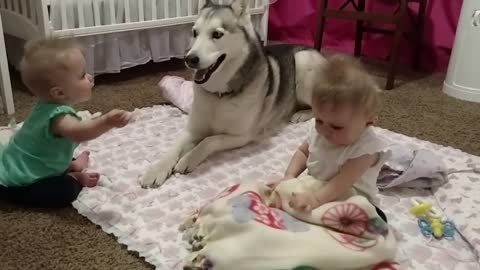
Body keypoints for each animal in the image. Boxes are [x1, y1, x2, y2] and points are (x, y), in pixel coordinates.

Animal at [141, 0, 328, 188]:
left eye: (217, 34)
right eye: (194, 33)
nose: (190, 59)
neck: (218, 95)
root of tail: (318, 52)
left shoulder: (242, 136)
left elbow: (210, 140)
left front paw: (188, 159)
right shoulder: (193, 130)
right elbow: (174, 147)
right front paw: (156, 170)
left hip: (303, 61)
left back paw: (302, 114)